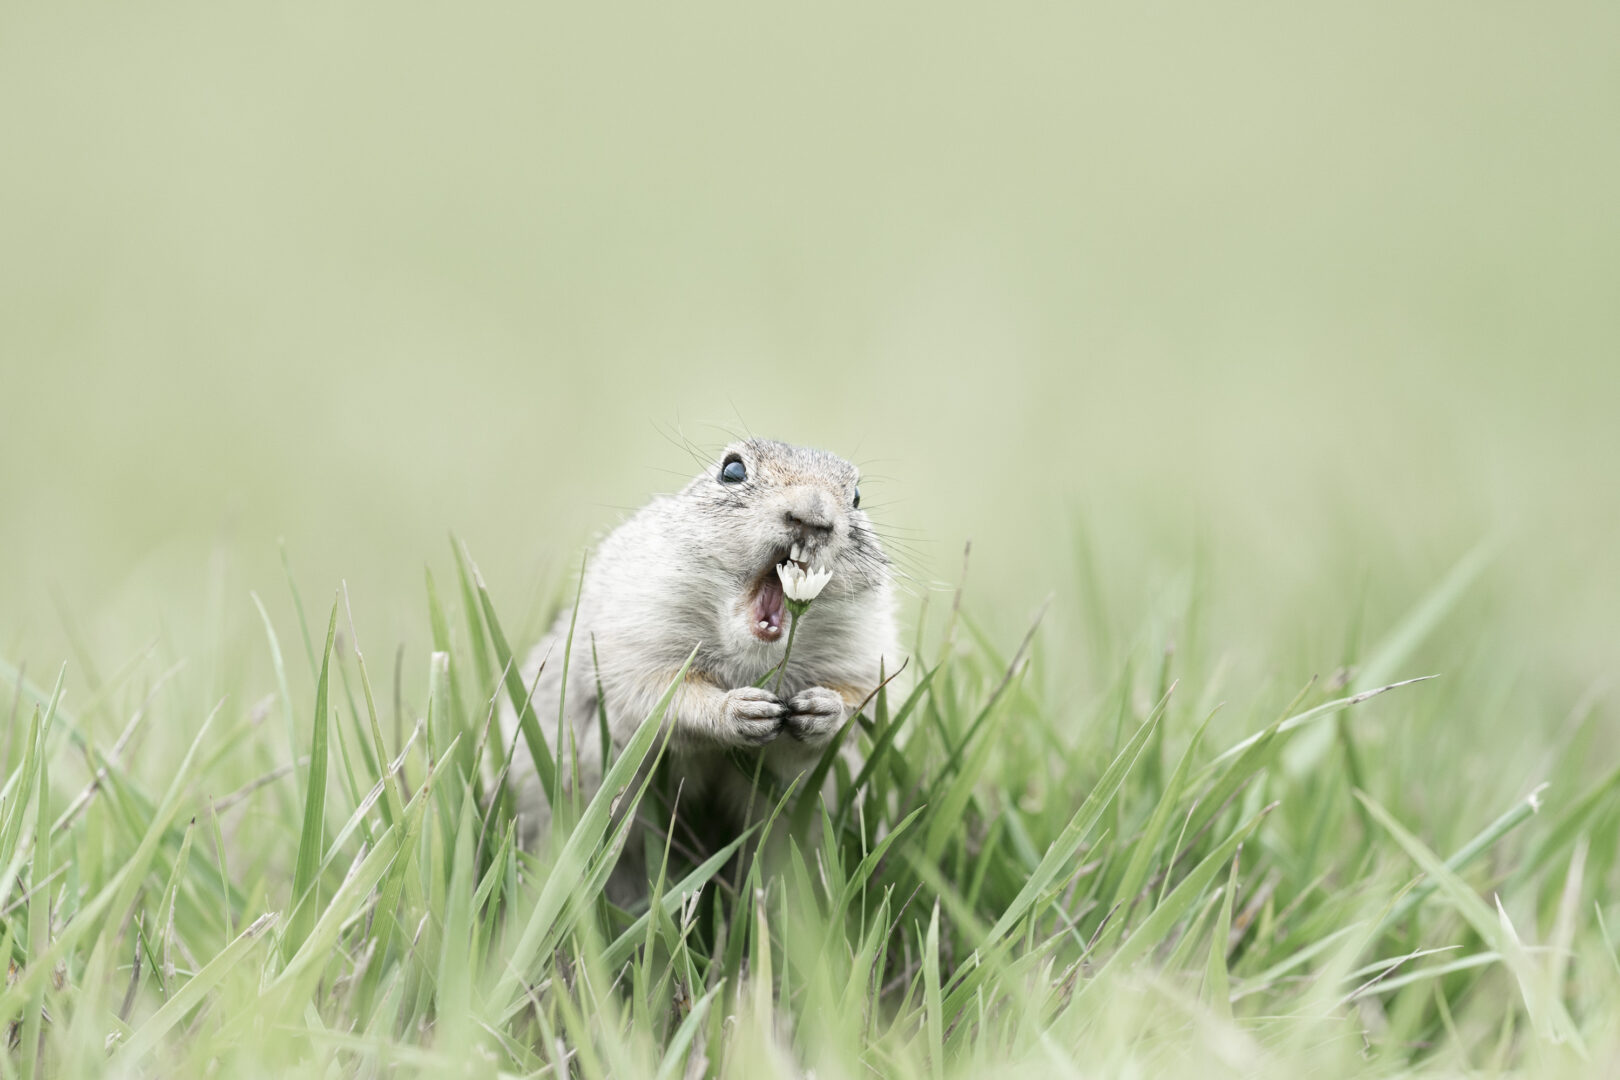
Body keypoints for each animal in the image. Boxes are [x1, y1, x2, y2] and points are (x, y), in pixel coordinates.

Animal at [498, 438, 901, 901]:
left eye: (857, 497)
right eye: (732, 471)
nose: (813, 516)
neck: (752, 661)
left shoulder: (866, 653)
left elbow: (863, 705)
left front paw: (824, 708)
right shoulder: (636, 637)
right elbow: (659, 697)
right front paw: (737, 710)